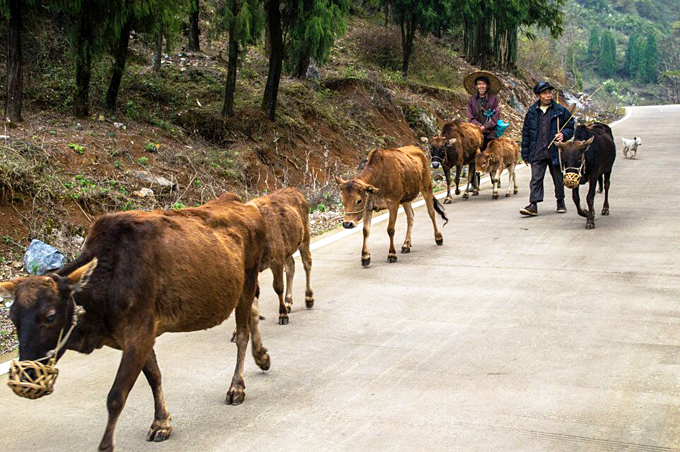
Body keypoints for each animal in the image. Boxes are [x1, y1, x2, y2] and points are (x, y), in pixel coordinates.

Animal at [0, 193, 270, 452]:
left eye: (50, 316)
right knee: (254, 312)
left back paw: (237, 387)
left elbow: (116, 396)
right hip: (243, 287)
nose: (26, 378)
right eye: (13, 318)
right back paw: (262, 357)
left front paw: (107, 445)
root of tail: (244, 204)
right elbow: (154, 376)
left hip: (247, 280)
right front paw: (162, 423)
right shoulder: (140, 336)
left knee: (242, 334)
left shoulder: (138, 336)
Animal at [250, 187, 314, 324]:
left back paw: (309, 298)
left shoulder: (276, 261)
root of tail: (296, 191)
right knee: (291, 267)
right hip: (287, 249)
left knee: (307, 263)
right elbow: (255, 292)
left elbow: (278, 286)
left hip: (304, 238)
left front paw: (282, 315)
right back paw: (288, 301)